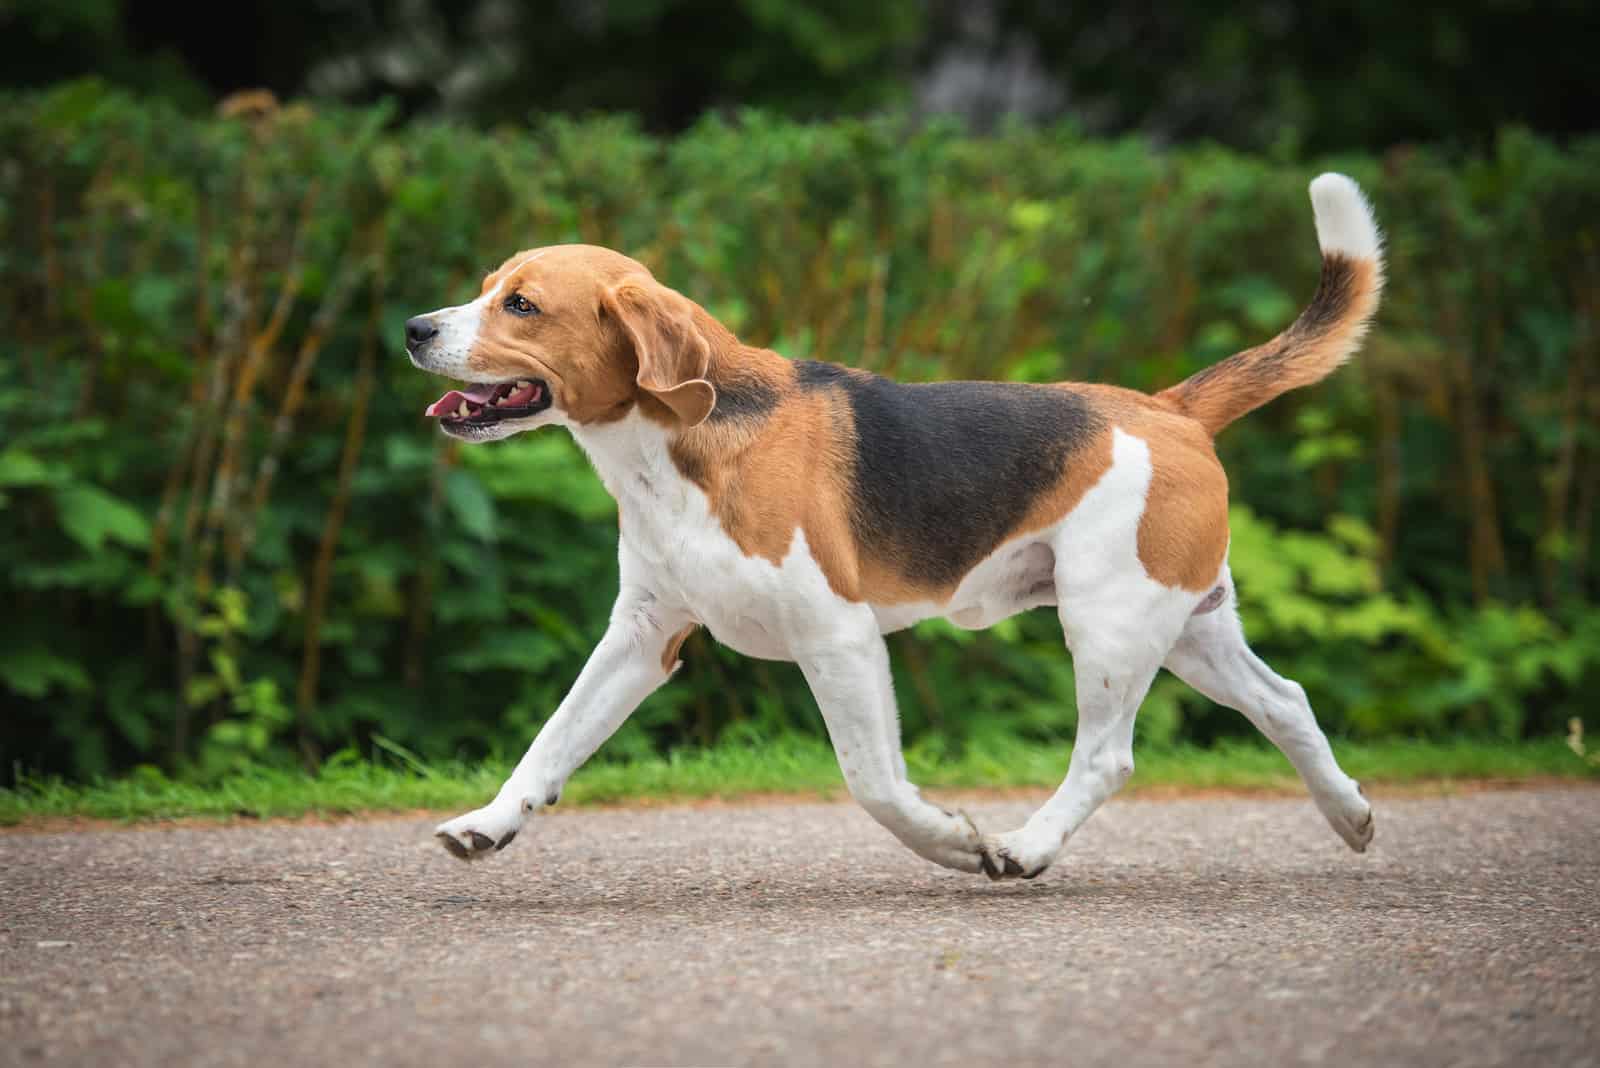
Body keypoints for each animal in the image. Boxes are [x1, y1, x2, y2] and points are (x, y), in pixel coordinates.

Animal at [409, 173, 1388, 876]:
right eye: (486, 289)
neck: (671, 449)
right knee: (1285, 701)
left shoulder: (837, 637)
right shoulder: (645, 634)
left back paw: (1024, 848)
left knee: (1107, 758)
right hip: (1186, 626)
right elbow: (551, 740)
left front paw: (951, 840)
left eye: (522, 305)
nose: (416, 327)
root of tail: (1171, 409)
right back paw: (1350, 816)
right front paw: (488, 823)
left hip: (1109, 620)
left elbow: (875, 782)